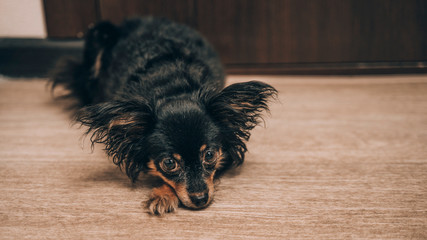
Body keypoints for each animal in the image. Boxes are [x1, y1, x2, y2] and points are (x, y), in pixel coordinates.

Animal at [51, 17, 278, 216]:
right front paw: (163, 195)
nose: (200, 199)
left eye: (210, 155)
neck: (172, 88)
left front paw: (163, 195)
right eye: (169, 163)